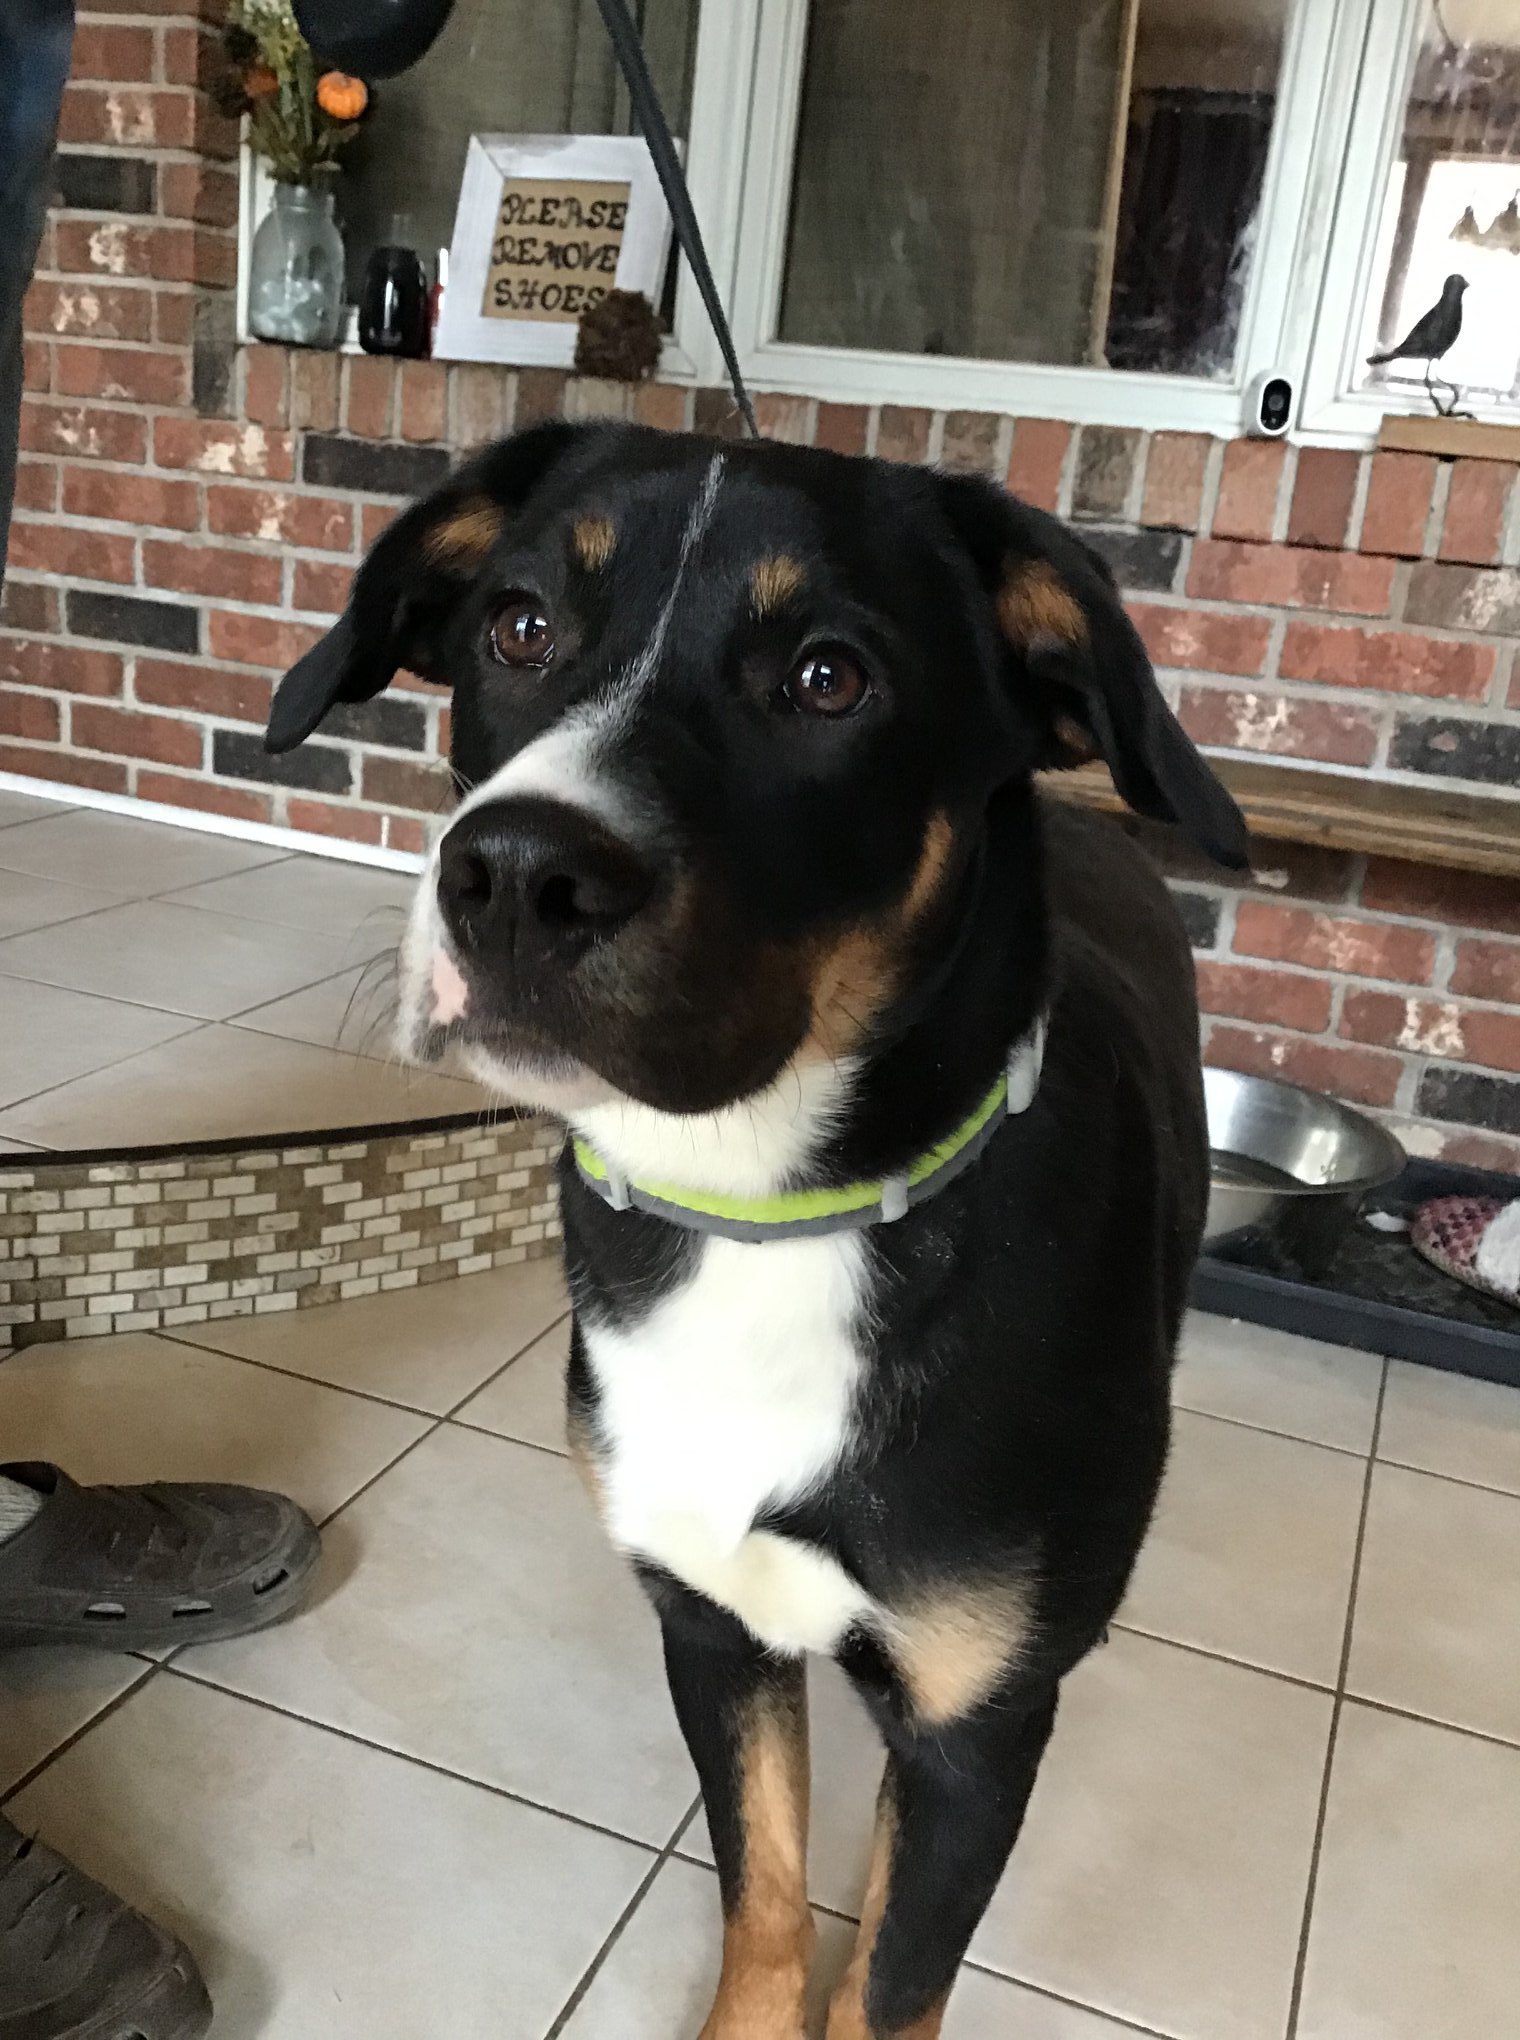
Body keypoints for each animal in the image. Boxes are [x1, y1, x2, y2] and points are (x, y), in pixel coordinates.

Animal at [269, 422, 1248, 2031]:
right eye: (518, 626)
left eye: (827, 677)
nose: (512, 877)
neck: (770, 1219)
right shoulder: (706, 1626)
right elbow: (766, 1893)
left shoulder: (977, 1729)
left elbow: (892, 1982)